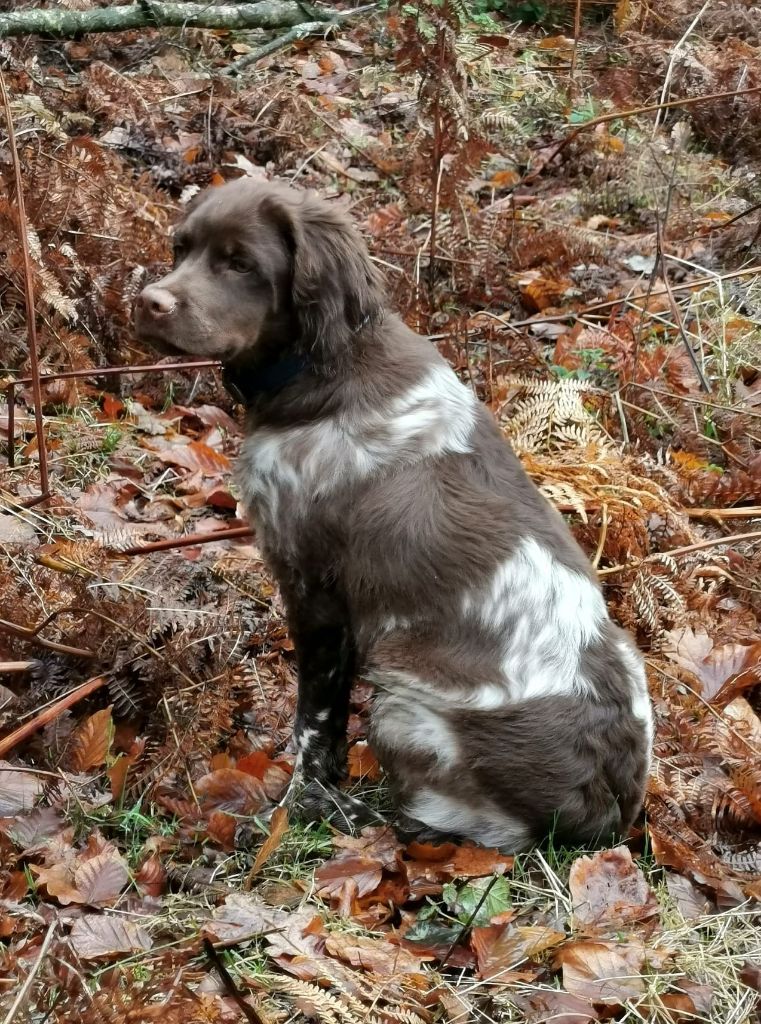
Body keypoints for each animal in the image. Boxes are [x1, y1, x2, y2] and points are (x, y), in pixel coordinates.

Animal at [134, 180, 651, 851]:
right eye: (181, 247)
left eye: (241, 263)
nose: (150, 302)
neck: (326, 365)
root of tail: (606, 816)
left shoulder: (317, 592)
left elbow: (314, 724)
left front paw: (297, 806)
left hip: (403, 704)